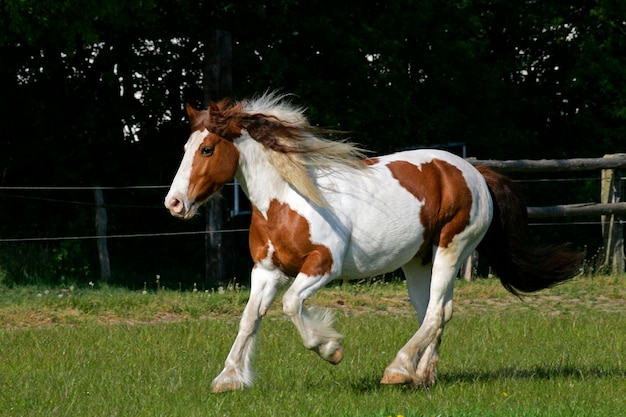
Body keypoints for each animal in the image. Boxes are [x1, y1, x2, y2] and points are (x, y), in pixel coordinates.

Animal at [162, 92, 580, 394]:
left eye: (207, 149)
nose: (174, 203)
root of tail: (474, 172)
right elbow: (250, 318)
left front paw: (331, 350)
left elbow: (291, 304)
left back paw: (397, 370)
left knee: (434, 313)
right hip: (418, 261)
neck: (288, 198)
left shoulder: (321, 266)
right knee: (437, 312)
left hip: (452, 247)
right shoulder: (266, 271)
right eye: (184, 149)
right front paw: (228, 378)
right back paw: (421, 376)